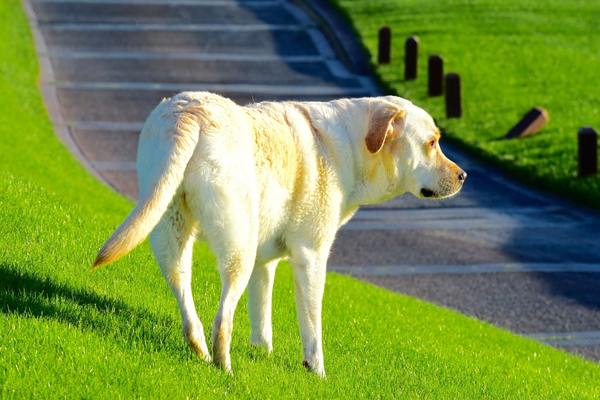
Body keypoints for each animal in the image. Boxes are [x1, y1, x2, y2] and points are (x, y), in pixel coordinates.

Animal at [95, 92, 468, 376]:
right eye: (432, 143)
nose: (464, 176)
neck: (347, 147)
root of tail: (190, 112)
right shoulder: (311, 256)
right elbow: (313, 324)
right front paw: (317, 372)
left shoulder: (265, 263)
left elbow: (262, 313)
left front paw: (262, 353)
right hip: (239, 247)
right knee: (223, 319)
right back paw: (224, 368)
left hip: (170, 229)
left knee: (184, 292)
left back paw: (198, 347)